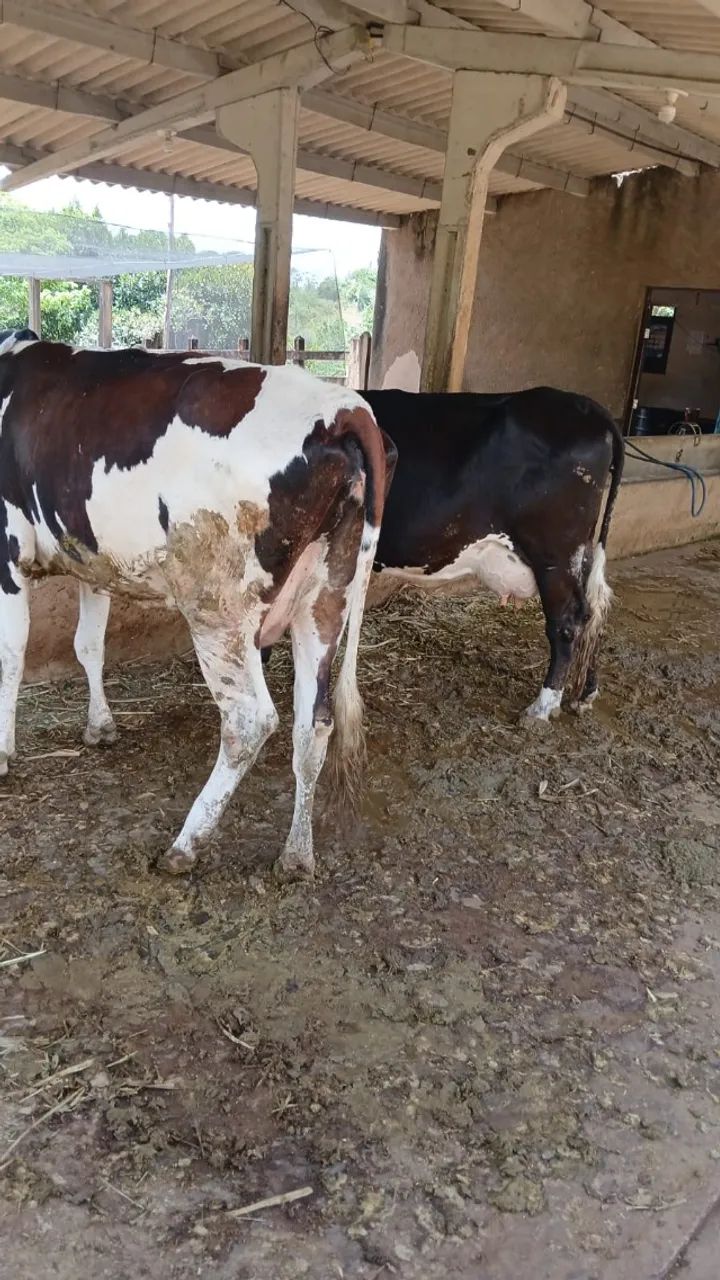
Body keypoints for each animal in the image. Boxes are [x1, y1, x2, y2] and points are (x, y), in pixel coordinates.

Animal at [0, 332, 395, 877]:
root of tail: (344, 407)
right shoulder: (91, 560)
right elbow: (88, 645)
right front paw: (100, 726)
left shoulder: (7, 550)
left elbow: (12, 654)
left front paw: (2, 751)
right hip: (325, 599)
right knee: (313, 724)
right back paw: (296, 855)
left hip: (219, 610)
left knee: (250, 720)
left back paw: (187, 843)